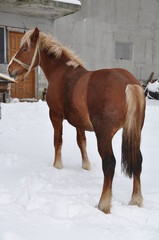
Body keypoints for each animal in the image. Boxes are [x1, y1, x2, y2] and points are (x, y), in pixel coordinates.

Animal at [8, 28, 146, 214]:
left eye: (24, 48)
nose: (10, 70)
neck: (61, 73)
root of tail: (129, 83)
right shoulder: (79, 123)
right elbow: (81, 142)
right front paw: (86, 166)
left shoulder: (55, 115)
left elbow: (58, 141)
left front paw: (57, 165)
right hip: (135, 132)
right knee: (137, 160)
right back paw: (136, 200)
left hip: (103, 135)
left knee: (109, 163)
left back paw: (103, 204)